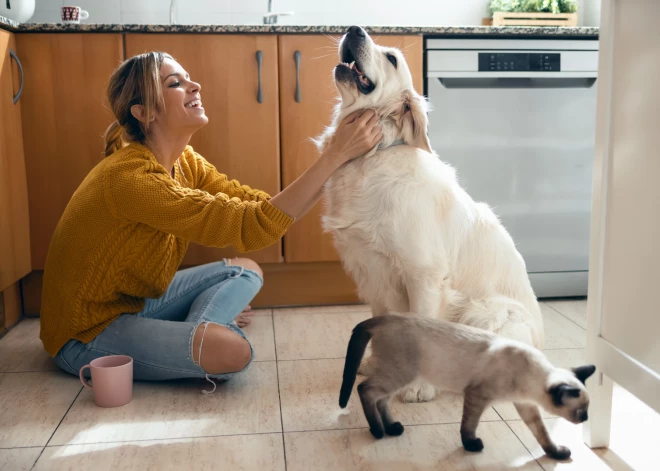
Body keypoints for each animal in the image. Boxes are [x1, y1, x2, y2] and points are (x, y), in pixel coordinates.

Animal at [316, 23, 556, 454]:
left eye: (392, 57)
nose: (354, 29)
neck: (372, 157)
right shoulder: (372, 274)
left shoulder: (423, 275)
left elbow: (424, 326)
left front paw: (418, 388)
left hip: (488, 313)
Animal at [340, 316, 600, 460]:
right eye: (581, 411)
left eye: (587, 410)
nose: (586, 419)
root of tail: (384, 317)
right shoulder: (477, 396)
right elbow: (469, 425)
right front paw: (471, 446)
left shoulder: (525, 406)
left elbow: (542, 433)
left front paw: (555, 453)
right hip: (399, 374)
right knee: (365, 389)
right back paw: (377, 431)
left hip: (399, 377)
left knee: (381, 398)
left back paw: (391, 427)